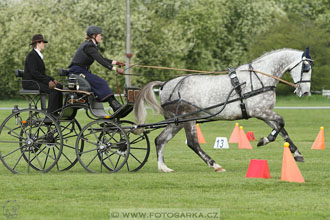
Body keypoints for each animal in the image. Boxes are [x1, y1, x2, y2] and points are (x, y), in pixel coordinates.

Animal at [133, 47, 312, 172]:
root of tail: (164, 85)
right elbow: (281, 122)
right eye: (306, 68)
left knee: (160, 140)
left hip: (177, 122)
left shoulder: (264, 113)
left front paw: (297, 153)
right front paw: (264, 140)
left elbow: (282, 130)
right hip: (188, 119)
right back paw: (215, 165)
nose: (305, 92)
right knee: (192, 143)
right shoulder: (260, 111)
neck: (260, 78)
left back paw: (163, 167)